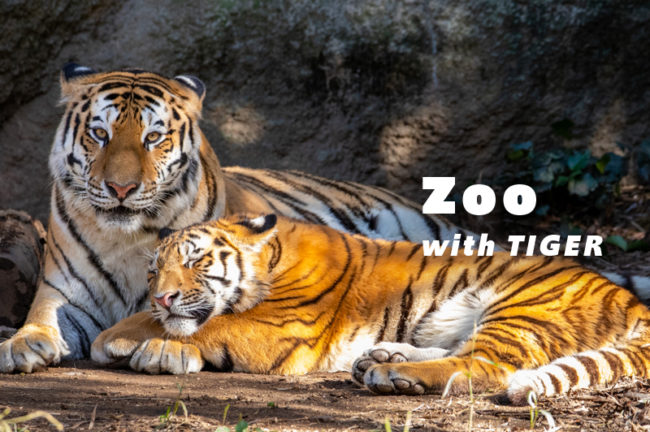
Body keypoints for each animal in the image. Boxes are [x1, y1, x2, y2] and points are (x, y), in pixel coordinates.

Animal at [0, 64, 471, 374]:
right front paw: (19, 346)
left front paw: (168, 350)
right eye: (100, 134)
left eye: (154, 138)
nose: (121, 189)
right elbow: (42, 321)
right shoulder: (64, 293)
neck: (130, 240)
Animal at [92, 213, 650, 404]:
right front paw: (112, 338)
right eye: (153, 272)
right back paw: (383, 358)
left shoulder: (282, 328)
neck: (271, 261)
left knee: (488, 365)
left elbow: (211, 327)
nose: (163, 295)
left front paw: (158, 350)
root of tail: (625, 296)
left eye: (196, 261)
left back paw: (393, 376)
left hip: (519, 306)